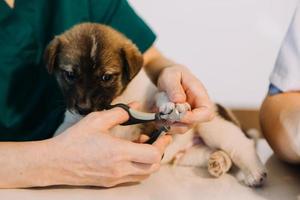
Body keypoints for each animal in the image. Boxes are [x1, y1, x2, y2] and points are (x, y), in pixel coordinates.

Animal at [45, 22, 268, 187]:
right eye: (70, 74)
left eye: (106, 77)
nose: (83, 108)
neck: (117, 99)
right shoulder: (69, 122)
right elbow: (62, 133)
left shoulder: (150, 94)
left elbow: (161, 94)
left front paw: (172, 105)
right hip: (189, 156)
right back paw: (219, 162)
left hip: (212, 127)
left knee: (241, 144)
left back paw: (254, 172)